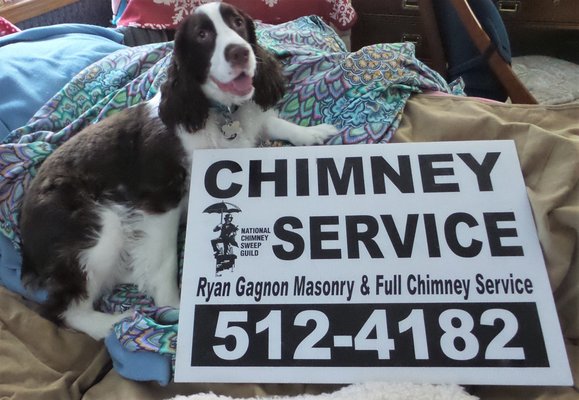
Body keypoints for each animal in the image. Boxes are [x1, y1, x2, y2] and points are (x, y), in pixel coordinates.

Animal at [20, 1, 338, 340]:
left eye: (238, 23)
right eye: (202, 35)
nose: (240, 52)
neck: (216, 112)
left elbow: (272, 122)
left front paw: (314, 132)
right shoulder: (160, 198)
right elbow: (165, 260)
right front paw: (174, 306)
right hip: (99, 226)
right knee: (64, 308)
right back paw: (115, 323)